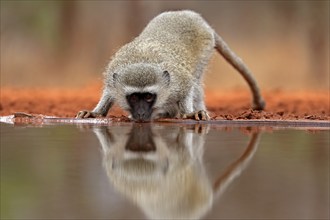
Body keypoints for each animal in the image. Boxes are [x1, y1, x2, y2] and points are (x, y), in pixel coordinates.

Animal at [76, 10, 264, 121]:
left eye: (148, 97)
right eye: (134, 97)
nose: (141, 114)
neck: (142, 60)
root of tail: (192, 16)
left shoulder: (179, 81)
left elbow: (189, 87)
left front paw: (189, 113)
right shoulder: (112, 76)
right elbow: (109, 92)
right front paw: (97, 112)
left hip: (205, 48)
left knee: (196, 83)